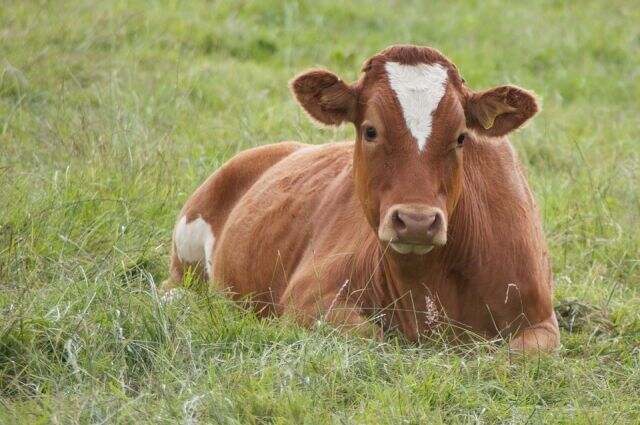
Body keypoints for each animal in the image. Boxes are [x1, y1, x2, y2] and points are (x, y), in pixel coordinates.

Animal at [165, 44, 560, 352]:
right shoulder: (306, 299)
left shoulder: (542, 321)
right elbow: (371, 335)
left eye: (461, 136)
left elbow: (511, 355)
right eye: (370, 130)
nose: (416, 222)